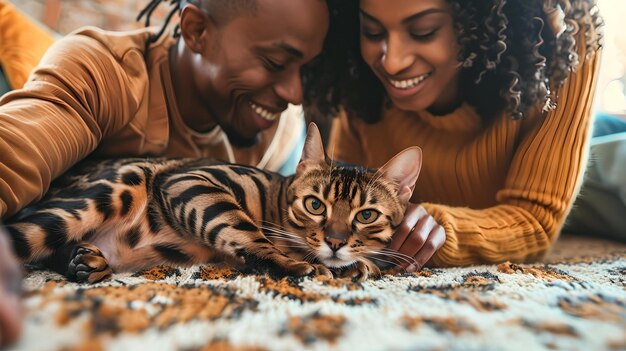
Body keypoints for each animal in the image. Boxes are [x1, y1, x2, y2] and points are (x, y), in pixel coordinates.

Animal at [4, 124, 420, 284]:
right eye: (315, 205)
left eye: (366, 215)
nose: (334, 241)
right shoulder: (194, 180)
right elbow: (247, 232)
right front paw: (304, 265)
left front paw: (359, 264)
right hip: (116, 186)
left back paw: (85, 261)